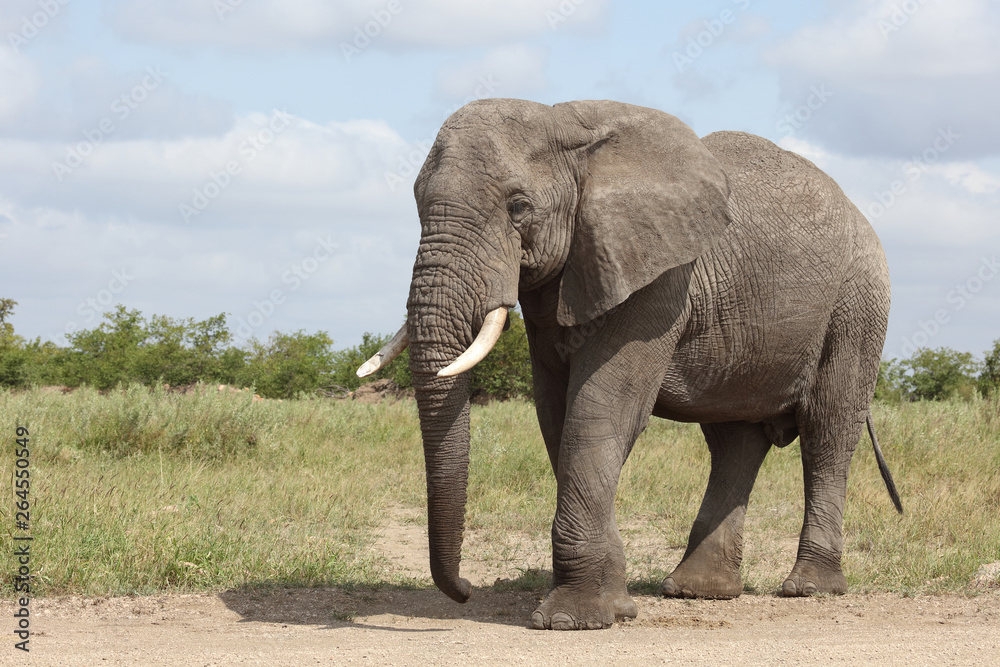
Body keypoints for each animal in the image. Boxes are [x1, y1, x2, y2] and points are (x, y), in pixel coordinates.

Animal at [358, 99, 900, 632]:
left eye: (519, 207)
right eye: (416, 205)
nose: (467, 590)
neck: (566, 122)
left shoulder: (658, 276)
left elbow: (602, 408)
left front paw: (571, 620)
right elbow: (557, 413)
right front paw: (615, 607)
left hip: (858, 303)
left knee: (827, 432)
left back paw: (809, 588)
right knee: (734, 442)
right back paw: (698, 591)